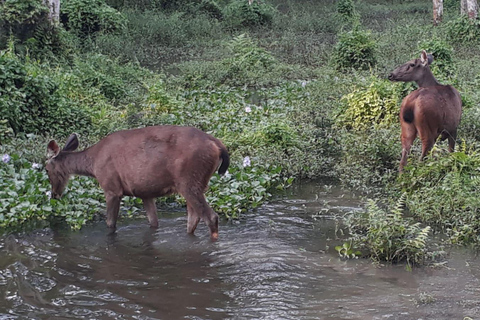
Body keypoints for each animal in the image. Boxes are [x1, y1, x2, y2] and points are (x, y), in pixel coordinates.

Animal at [46, 125, 230, 240]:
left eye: (46, 169)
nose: (54, 195)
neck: (93, 163)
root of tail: (218, 146)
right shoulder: (144, 193)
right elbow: (153, 223)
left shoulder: (112, 187)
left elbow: (110, 223)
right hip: (195, 183)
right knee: (193, 219)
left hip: (189, 181)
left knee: (211, 217)